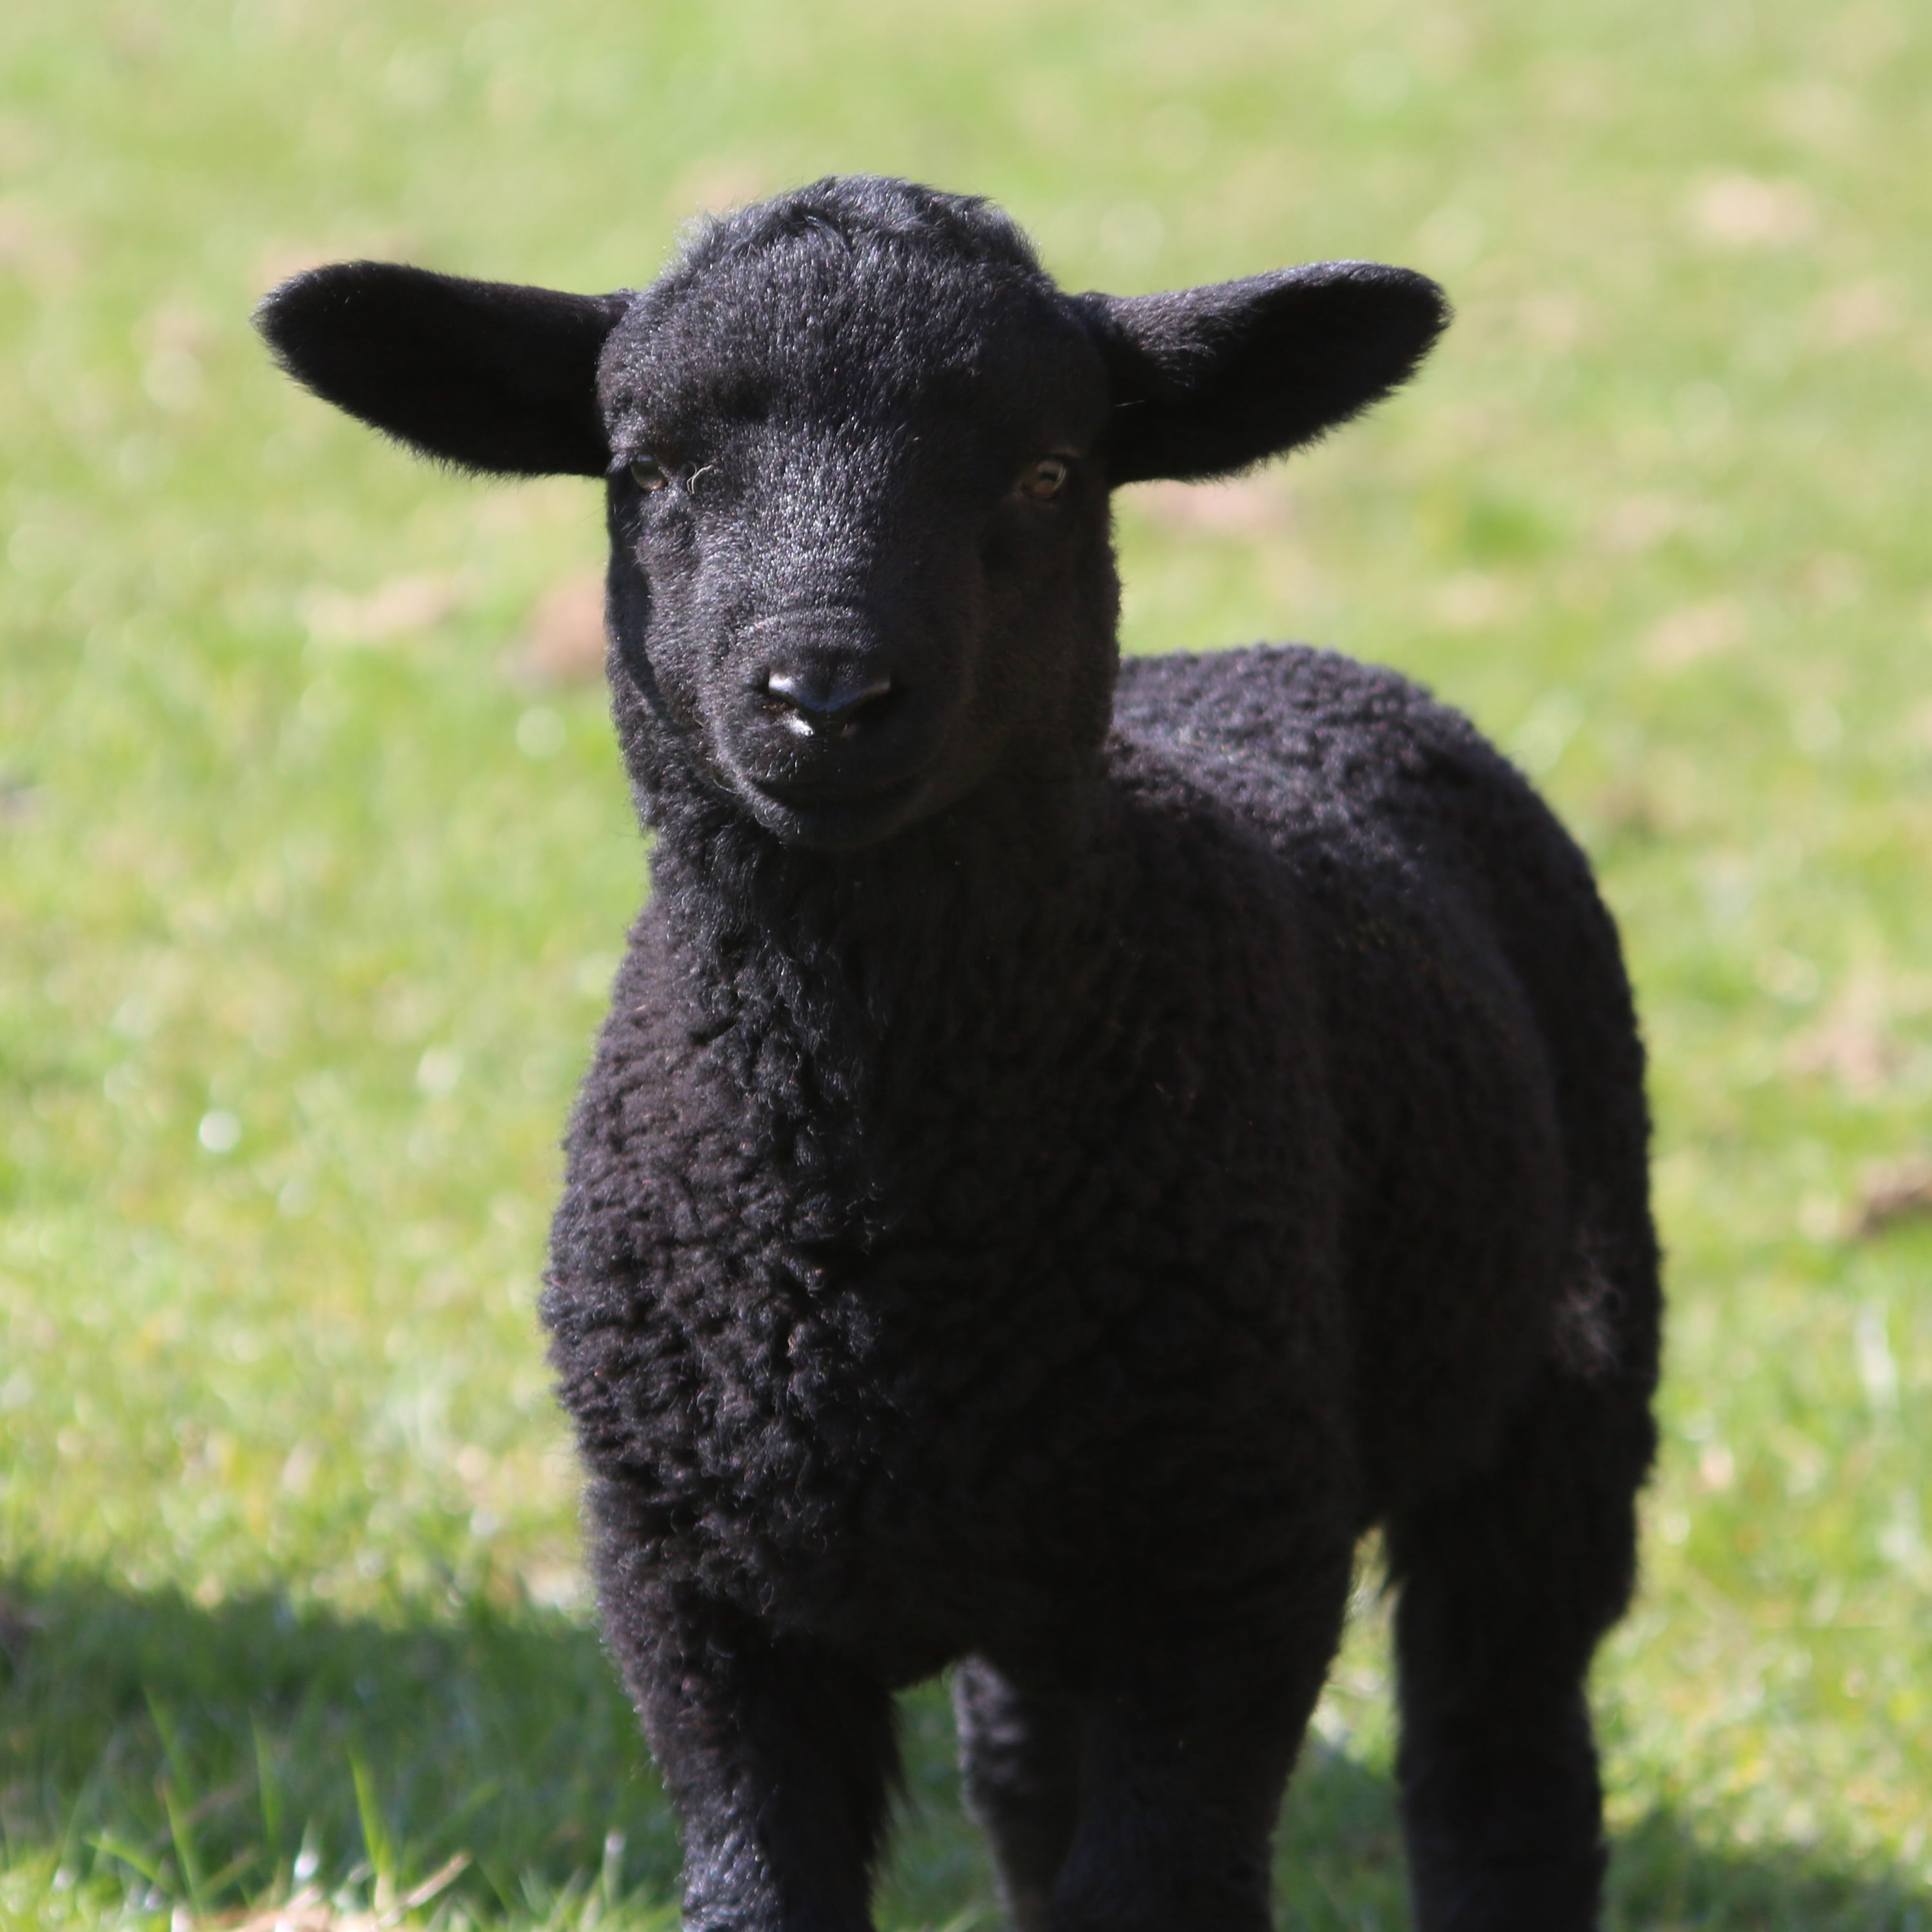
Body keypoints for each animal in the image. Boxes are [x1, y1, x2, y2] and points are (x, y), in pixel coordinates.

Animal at [257, 174, 1660, 1932]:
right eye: (647, 469)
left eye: (1049, 470)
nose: (828, 695)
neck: (868, 1210)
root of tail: (1279, 661)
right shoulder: (689, 1590)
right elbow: (766, 1889)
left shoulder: (1232, 1568)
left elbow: (1161, 1884)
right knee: (1029, 1781)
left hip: (1565, 1375)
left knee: (1500, 1754)